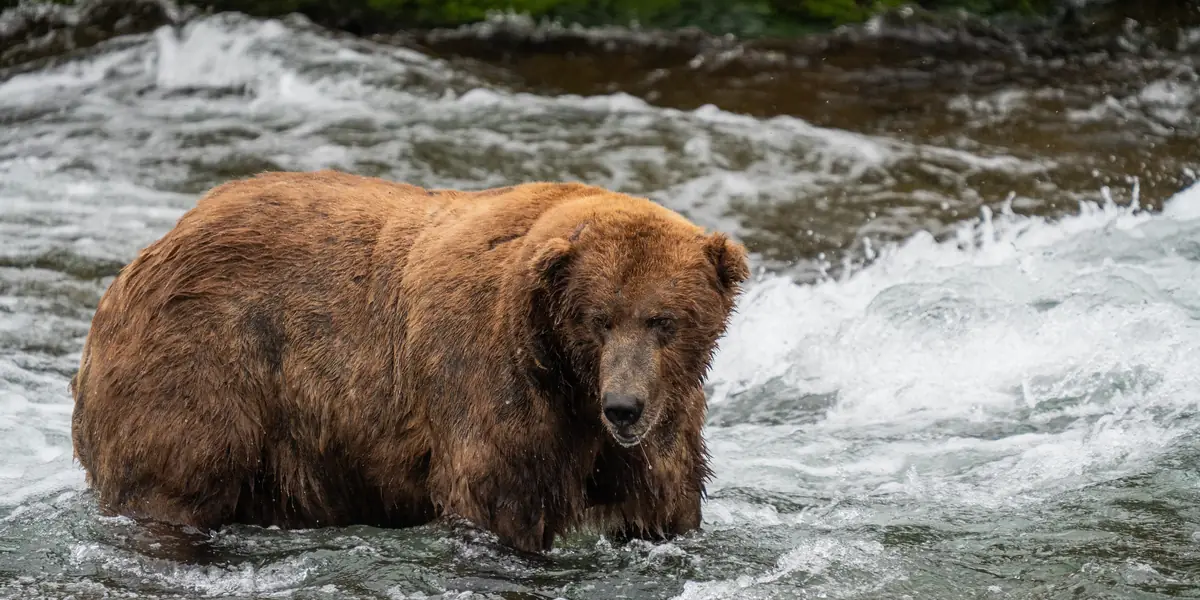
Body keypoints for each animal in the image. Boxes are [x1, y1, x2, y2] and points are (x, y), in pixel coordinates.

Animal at [69, 169, 750, 554]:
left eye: (664, 320)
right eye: (598, 318)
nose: (624, 406)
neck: (566, 379)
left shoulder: (661, 423)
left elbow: (663, 503)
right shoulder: (490, 381)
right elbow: (495, 499)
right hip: (206, 360)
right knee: (173, 477)